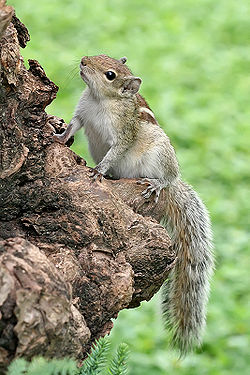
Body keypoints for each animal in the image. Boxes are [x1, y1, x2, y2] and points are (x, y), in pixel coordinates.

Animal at [53, 53, 214, 356]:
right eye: (100, 53)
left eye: (110, 74)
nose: (83, 60)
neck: (100, 100)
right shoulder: (82, 114)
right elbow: (73, 125)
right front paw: (58, 136)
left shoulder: (123, 134)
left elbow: (116, 151)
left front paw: (99, 170)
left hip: (159, 154)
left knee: (168, 176)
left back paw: (158, 184)